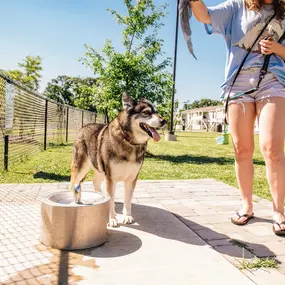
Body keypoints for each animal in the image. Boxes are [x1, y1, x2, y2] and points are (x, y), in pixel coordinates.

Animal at [69, 93, 165, 226]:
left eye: (157, 112)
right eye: (146, 112)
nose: (164, 121)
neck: (129, 141)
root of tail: (84, 126)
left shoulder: (131, 179)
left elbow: (127, 200)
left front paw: (127, 216)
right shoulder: (110, 178)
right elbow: (111, 201)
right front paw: (112, 219)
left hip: (100, 170)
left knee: (95, 182)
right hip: (81, 168)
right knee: (72, 183)